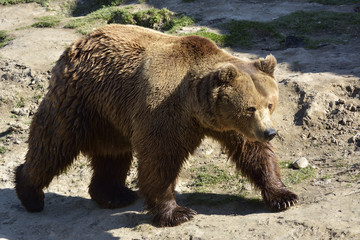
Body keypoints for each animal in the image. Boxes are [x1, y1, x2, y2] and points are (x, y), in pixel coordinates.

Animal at [14, 23, 298, 227]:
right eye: (250, 107)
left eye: (270, 104)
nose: (270, 132)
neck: (194, 105)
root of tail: (79, 41)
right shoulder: (164, 111)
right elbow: (159, 159)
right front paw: (177, 213)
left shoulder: (230, 125)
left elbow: (254, 153)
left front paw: (283, 196)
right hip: (81, 100)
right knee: (54, 143)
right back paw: (30, 193)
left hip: (111, 114)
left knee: (112, 152)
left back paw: (113, 194)